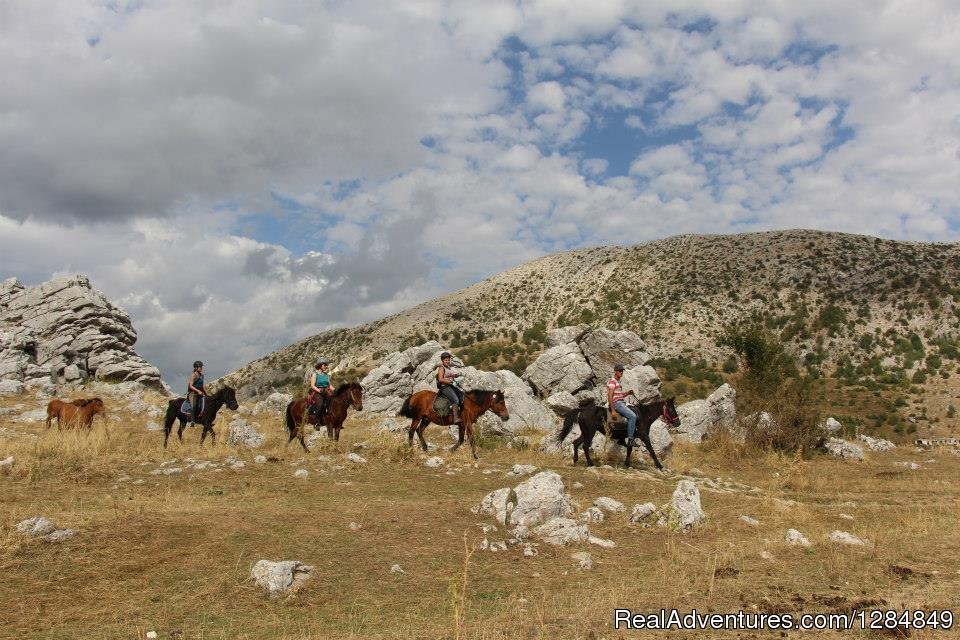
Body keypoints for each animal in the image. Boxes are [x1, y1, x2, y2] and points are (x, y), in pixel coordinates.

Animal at [556, 396, 684, 470]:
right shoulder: (644, 436)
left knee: (576, 443)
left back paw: (575, 460)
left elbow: (629, 449)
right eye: (671, 409)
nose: (678, 423)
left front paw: (627, 464)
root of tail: (582, 410)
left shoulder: (631, 437)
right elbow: (651, 450)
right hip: (590, 433)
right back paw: (590, 463)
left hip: (586, 433)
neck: (643, 416)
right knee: (585, 446)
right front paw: (659, 465)